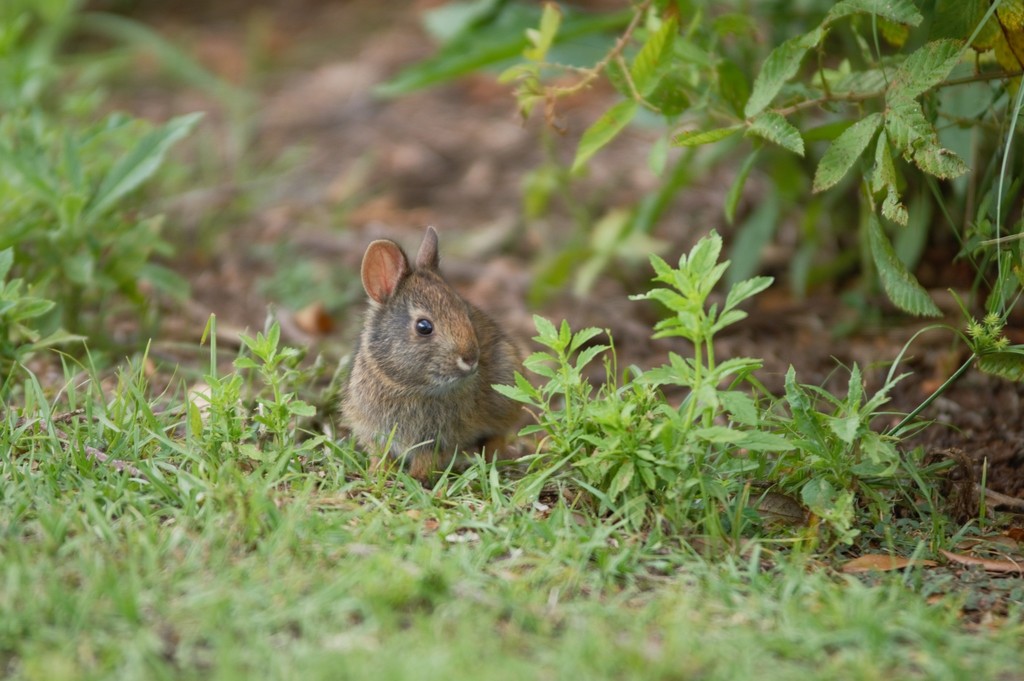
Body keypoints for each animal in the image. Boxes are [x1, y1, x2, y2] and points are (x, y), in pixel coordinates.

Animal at [341, 226, 524, 479]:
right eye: (424, 326)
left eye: (467, 314)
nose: (471, 359)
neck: (406, 387)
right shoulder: (373, 430)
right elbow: (381, 454)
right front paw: (379, 473)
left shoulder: (439, 438)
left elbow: (428, 458)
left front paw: (417, 477)